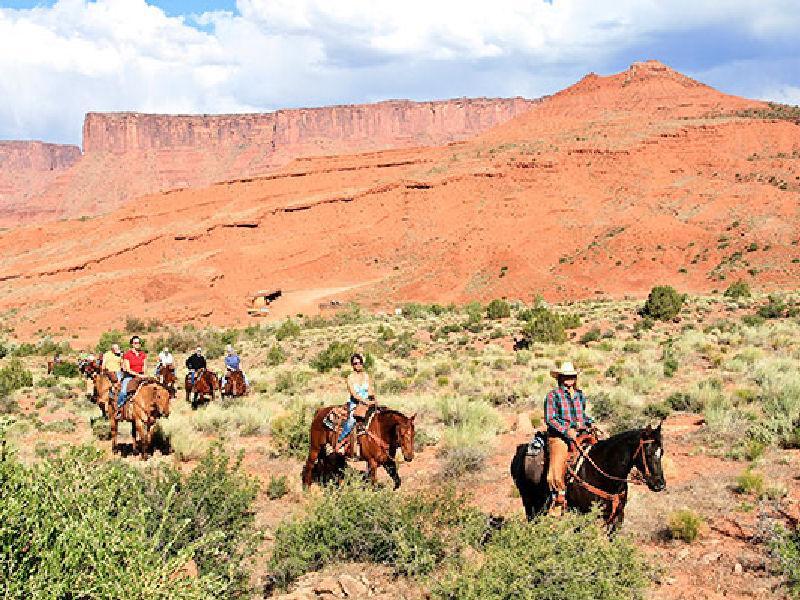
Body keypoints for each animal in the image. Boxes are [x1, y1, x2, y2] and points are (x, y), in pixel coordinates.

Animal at [510, 422, 664, 528]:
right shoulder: (584, 515)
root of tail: (521, 449)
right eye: (648, 454)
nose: (660, 484)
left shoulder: (617, 516)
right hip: (530, 502)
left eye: (661, 452)